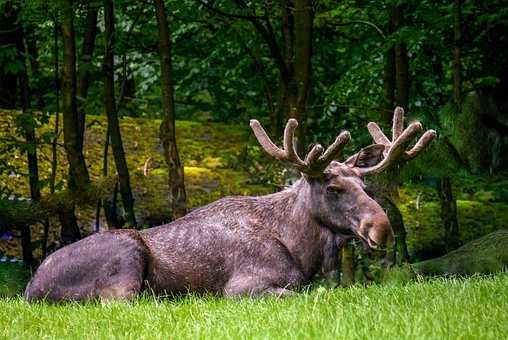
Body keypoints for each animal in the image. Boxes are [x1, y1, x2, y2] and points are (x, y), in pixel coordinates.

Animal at [24, 107, 436, 302]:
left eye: (363, 184)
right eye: (333, 187)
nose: (382, 228)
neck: (302, 248)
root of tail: (30, 290)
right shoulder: (242, 288)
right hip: (126, 261)